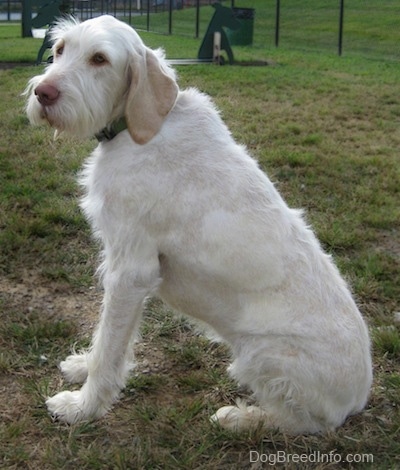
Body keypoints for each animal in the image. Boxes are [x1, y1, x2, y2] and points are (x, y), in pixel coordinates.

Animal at [25, 13, 372, 434]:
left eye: (99, 59)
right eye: (60, 49)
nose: (42, 93)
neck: (141, 129)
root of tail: (358, 399)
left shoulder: (131, 271)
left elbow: (110, 345)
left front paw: (82, 408)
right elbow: (107, 339)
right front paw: (82, 365)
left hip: (263, 355)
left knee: (301, 424)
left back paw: (240, 417)